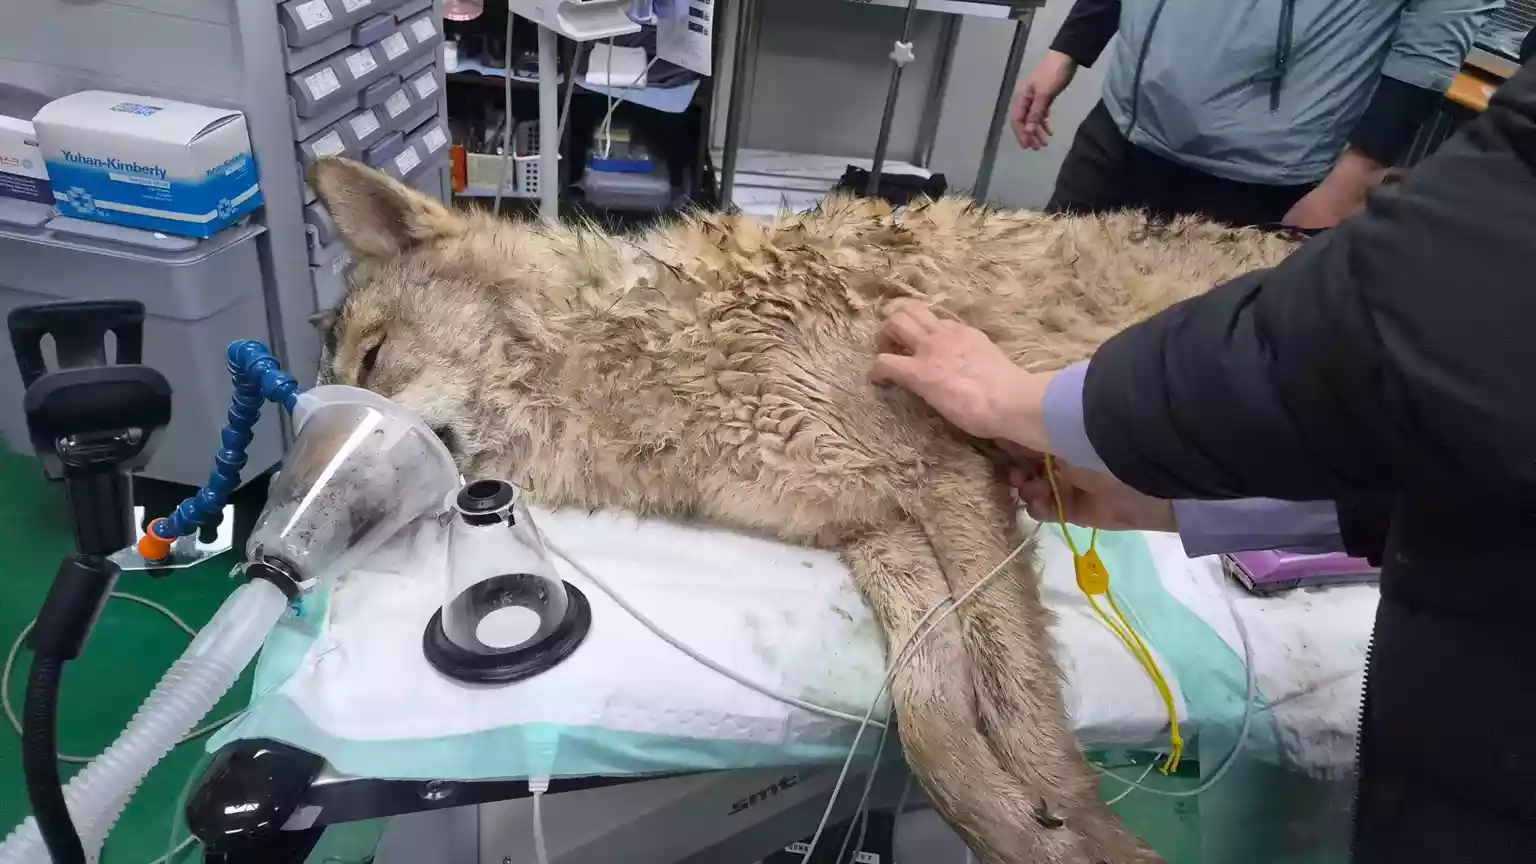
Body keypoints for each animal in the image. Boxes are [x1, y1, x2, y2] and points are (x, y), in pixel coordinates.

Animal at [309, 157, 1297, 863]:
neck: (634, 354)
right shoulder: (878, 533)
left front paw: (1087, 832)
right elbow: (933, 721)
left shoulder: (948, 472)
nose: (308, 513)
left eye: (374, 358)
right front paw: (1022, 828)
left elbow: (1016, 704)